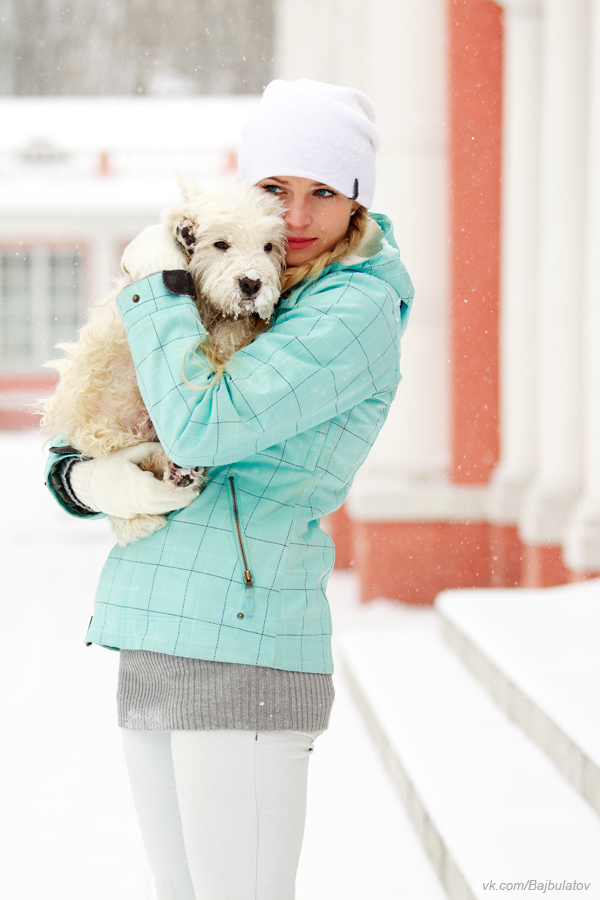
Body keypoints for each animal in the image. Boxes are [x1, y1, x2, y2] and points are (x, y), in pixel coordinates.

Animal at [41, 175, 288, 540]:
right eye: (221, 244)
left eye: (268, 247)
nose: (251, 283)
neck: (207, 305)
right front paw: (184, 232)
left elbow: (231, 333)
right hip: (106, 430)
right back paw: (173, 471)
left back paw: (180, 471)